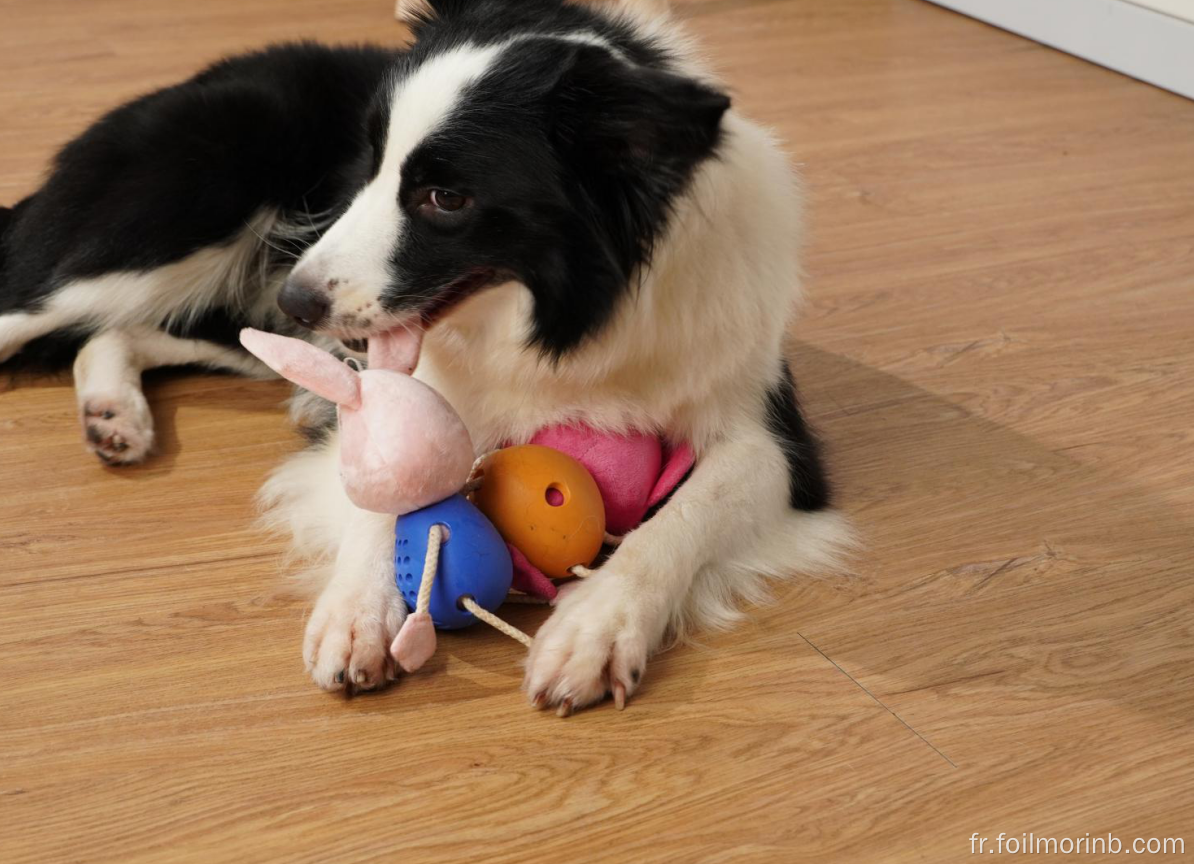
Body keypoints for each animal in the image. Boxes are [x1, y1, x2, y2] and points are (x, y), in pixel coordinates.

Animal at [0, 0, 850, 716]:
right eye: (367, 164)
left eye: (446, 198)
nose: (297, 301)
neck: (553, 320)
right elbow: (385, 472)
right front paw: (358, 613)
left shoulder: (766, 428)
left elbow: (685, 515)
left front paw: (595, 630)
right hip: (180, 209)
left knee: (123, 330)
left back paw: (115, 414)